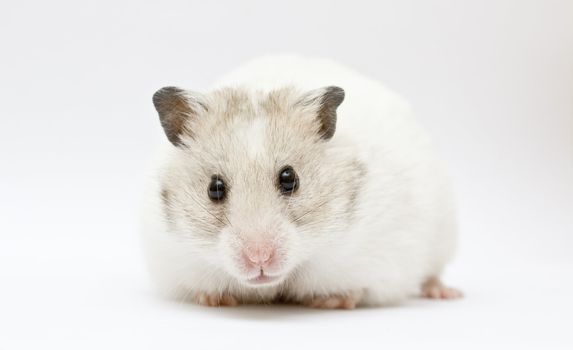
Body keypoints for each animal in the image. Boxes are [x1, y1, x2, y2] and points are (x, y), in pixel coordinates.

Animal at [141, 55, 462, 308]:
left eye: (289, 178)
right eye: (214, 188)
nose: (259, 259)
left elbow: (359, 289)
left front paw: (332, 301)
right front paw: (215, 299)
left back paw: (446, 293)